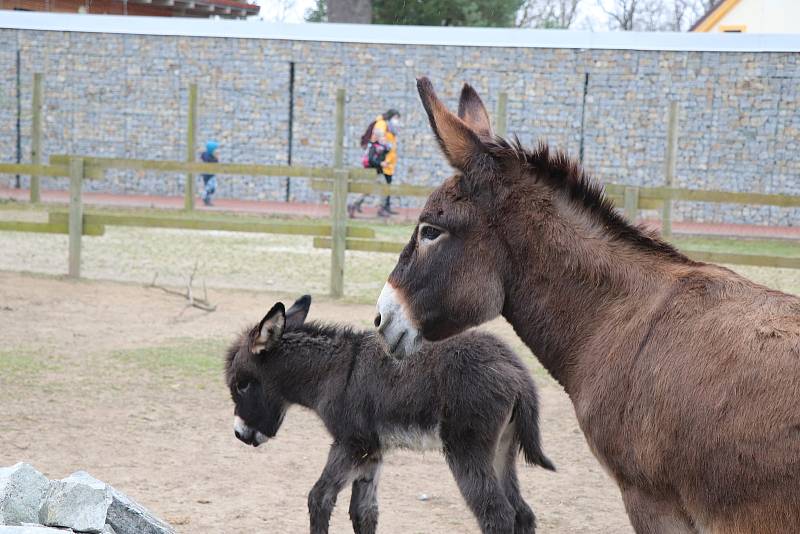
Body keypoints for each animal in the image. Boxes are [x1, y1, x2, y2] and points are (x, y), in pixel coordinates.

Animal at [223, 298, 552, 534]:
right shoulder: (372, 452)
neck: (336, 372)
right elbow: (364, 513)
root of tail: (517, 372)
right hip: (502, 449)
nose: (239, 434)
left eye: (241, 385)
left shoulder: (349, 444)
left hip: (467, 450)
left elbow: (319, 499)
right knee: (522, 513)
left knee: (497, 515)